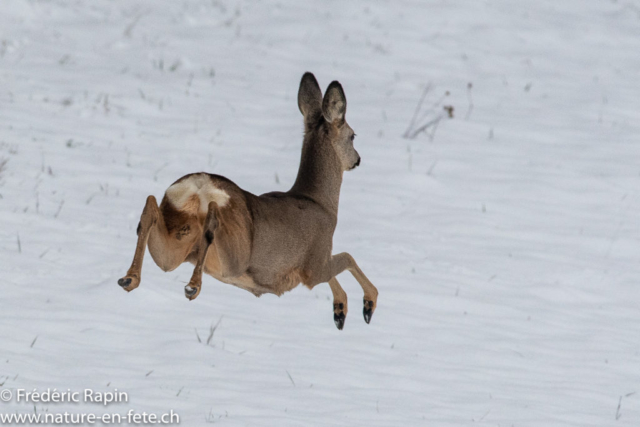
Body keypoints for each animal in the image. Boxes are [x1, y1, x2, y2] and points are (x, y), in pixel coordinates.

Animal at [117, 72, 378, 330]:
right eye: (353, 136)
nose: (358, 159)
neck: (320, 201)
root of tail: (199, 185)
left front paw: (340, 311)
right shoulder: (315, 263)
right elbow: (347, 257)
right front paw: (368, 304)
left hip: (175, 245)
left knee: (151, 207)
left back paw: (130, 279)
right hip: (236, 257)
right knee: (211, 221)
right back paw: (192, 286)